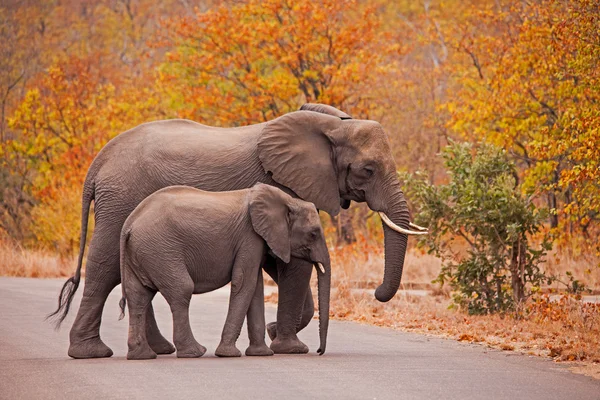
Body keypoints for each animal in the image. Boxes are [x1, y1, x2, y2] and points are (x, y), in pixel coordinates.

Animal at [119, 184, 330, 360]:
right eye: (313, 234)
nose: (319, 351)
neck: (287, 200)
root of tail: (129, 224)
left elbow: (255, 287)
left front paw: (261, 354)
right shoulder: (249, 237)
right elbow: (244, 282)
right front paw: (228, 354)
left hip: (143, 253)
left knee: (138, 296)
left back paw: (142, 356)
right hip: (161, 251)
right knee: (182, 290)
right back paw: (194, 352)